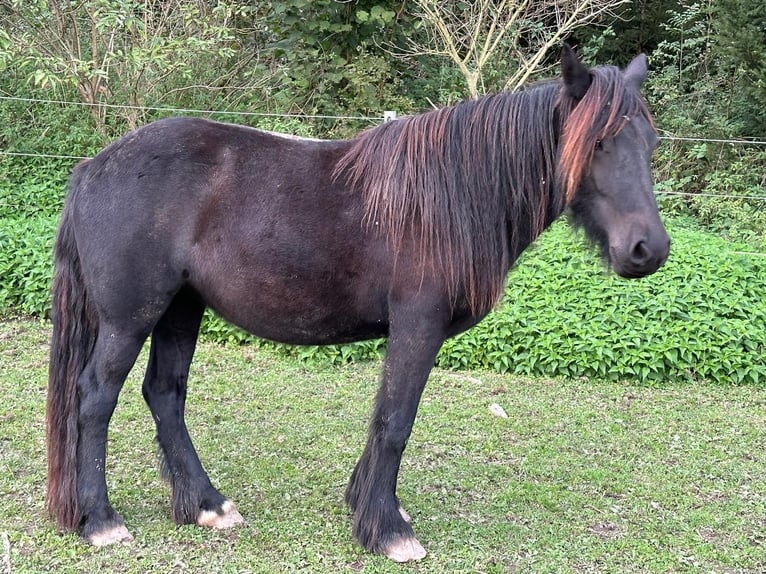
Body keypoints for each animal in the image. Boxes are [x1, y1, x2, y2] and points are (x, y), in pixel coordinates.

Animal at [46, 48, 672, 564]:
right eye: (596, 143)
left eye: (649, 143)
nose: (648, 249)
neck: (448, 195)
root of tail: (93, 168)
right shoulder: (417, 326)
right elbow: (396, 422)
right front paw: (389, 530)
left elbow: (381, 420)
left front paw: (366, 506)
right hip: (130, 320)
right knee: (96, 399)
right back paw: (101, 520)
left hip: (180, 309)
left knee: (165, 395)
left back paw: (206, 504)